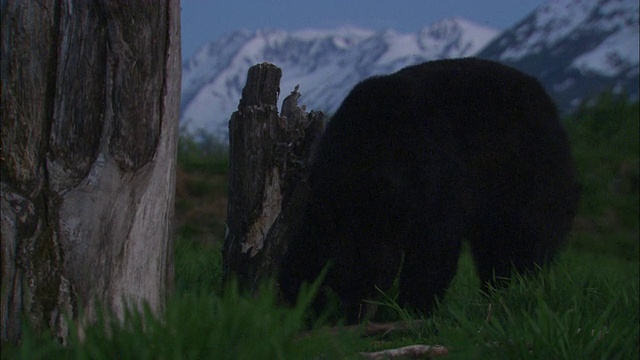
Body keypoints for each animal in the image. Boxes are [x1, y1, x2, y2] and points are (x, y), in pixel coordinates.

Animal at [278, 57, 580, 322]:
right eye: (339, 282)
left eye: (375, 279)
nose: (357, 317)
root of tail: (548, 102)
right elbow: (304, 248)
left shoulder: (435, 172)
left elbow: (434, 245)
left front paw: (413, 309)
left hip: (528, 171)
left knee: (523, 237)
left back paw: (513, 288)